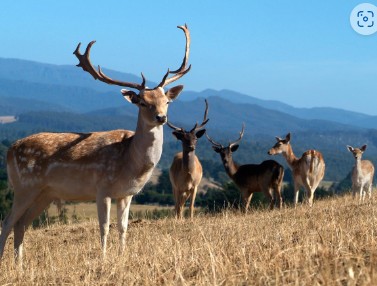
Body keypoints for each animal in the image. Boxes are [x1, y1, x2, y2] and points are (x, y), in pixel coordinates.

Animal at [0, 24, 191, 266]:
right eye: (142, 102)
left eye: (166, 101)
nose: (161, 117)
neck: (130, 162)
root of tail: (9, 150)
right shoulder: (102, 188)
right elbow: (104, 227)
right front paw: (103, 258)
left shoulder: (126, 194)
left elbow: (123, 227)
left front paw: (122, 256)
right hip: (24, 186)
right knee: (7, 221)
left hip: (45, 193)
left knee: (21, 223)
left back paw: (20, 264)